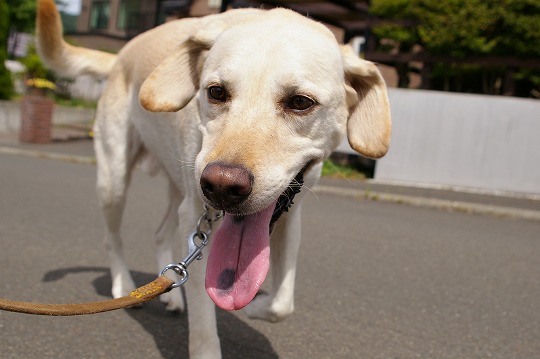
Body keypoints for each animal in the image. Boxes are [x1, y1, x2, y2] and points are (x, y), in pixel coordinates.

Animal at [38, 0, 390, 358]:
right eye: (216, 92)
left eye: (301, 102)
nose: (222, 186)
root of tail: (122, 53)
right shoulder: (197, 217)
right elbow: (205, 329)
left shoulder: (291, 217)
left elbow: (282, 304)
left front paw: (255, 306)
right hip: (116, 180)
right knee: (113, 238)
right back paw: (125, 285)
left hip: (177, 189)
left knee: (160, 234)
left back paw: (168, 292)